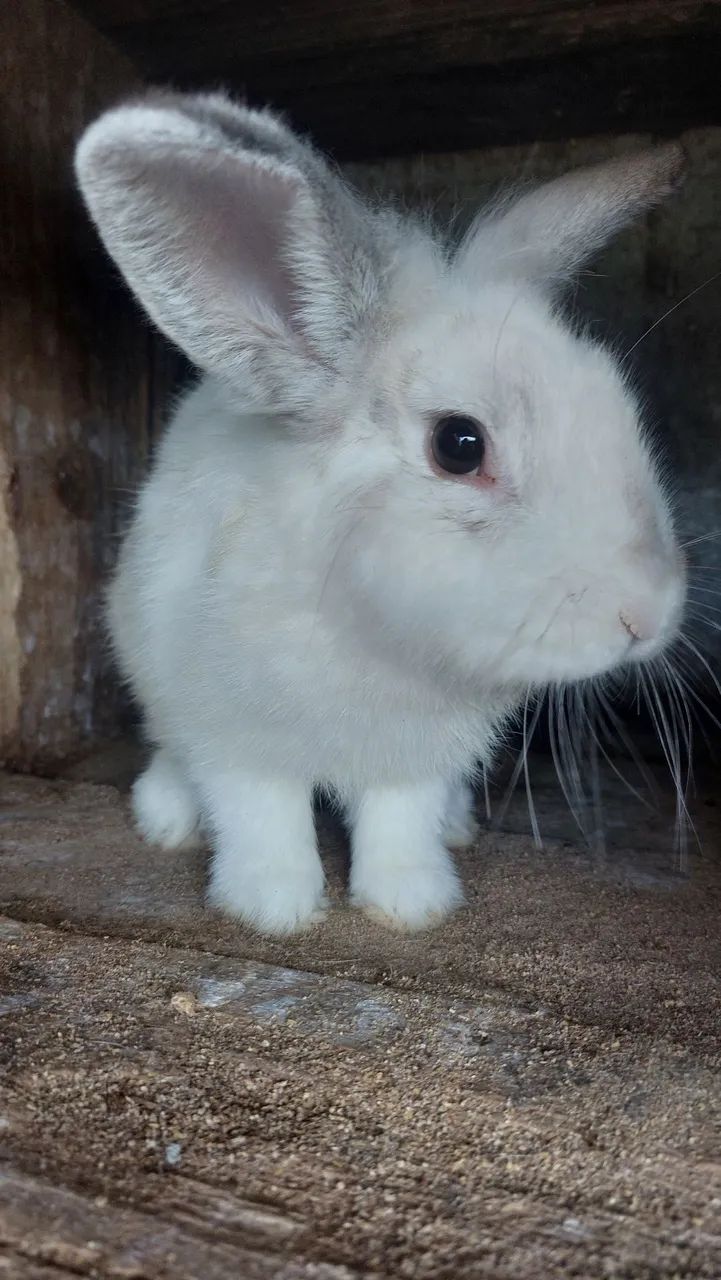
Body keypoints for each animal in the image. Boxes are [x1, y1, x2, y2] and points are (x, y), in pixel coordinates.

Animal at [75, 90, 687, 935]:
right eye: (458, 445)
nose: (646, 616)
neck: (377, 639)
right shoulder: (236, 736)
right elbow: (263, 816)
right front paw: (274, 908)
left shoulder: (416, 759)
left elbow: (400, 820)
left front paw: (409, 905)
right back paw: (165, 818)